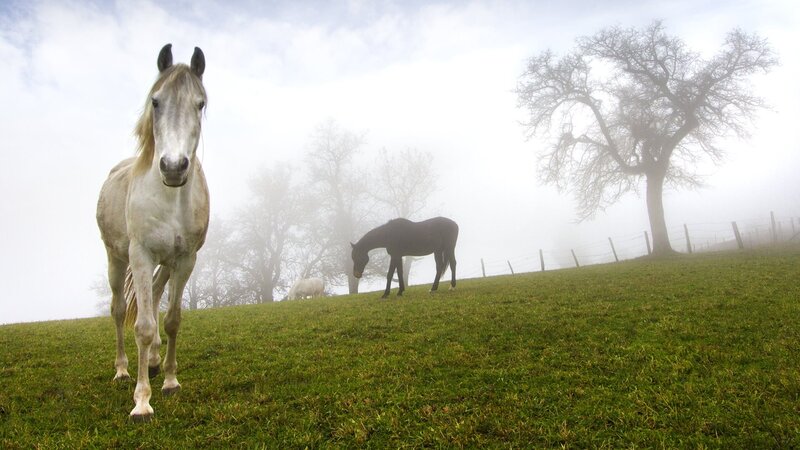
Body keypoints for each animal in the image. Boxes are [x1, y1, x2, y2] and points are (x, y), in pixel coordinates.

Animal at [96, 44, 208, 422]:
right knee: (119, 310)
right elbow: (143, 327)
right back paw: (122, 370)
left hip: (166, 264)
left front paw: (171, 381)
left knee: (157, 295)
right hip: (117, 260)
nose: (173, 167)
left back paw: (156, 362)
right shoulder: (141, 256)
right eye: (156, 101)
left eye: (200, 104)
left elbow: (172, 320)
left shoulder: (185, 260)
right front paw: (142, 401)